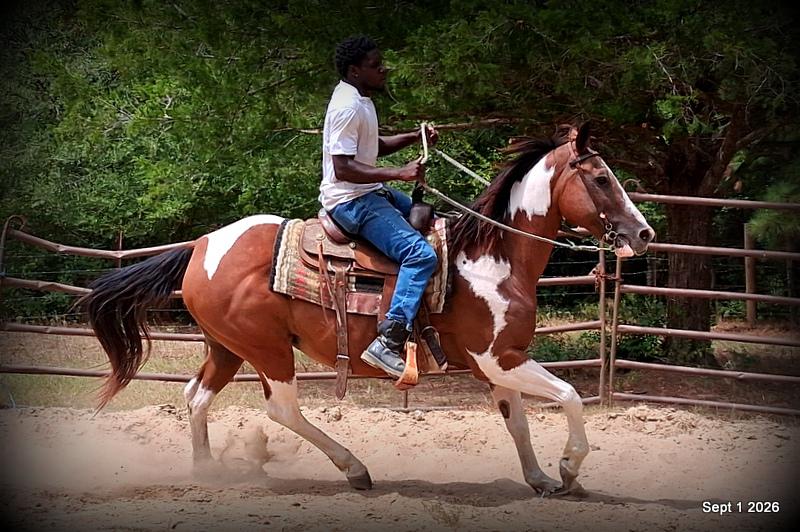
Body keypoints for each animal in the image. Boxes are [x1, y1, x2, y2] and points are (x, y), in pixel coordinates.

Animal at [78, 123, 654, 496]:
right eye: (601, 179)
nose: (644, 233)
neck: (492, 259)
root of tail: (201, 245)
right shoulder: (497, 357)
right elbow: (570, 396)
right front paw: (570, 468)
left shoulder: (497, 363)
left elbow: (519, 424)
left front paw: (540, 479)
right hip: (266, 350)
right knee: (281, 409)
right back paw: (354, 469)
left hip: (227, 346)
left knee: (196, 397)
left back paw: (206, 474)